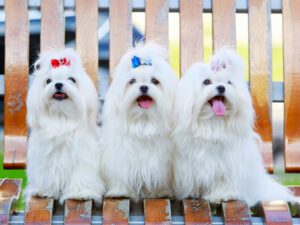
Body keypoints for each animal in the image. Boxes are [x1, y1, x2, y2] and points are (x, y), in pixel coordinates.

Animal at [25, 48, 105, 204]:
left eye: (72, 79)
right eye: (48, 81)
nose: (58, 84)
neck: (62, 118)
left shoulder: (82, 159)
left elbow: (81, 175)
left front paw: (80, 193)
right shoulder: (46, 159)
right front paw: (44, 191)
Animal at [100, 43, 178, 201]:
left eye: (155, 81)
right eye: (132, 81)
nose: (143, 87)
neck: (143, 121)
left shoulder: (161, 162)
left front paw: (160, 192)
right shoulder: (120, 156)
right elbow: (120, 174)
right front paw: (120, 192)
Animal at [173, 48, 298, 207]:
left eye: (229, 82)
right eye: (206, 81)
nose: (221, 88)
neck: (214, 124)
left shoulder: (229, 163)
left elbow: (225, 178)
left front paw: (223, 194)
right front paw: (194, 192)